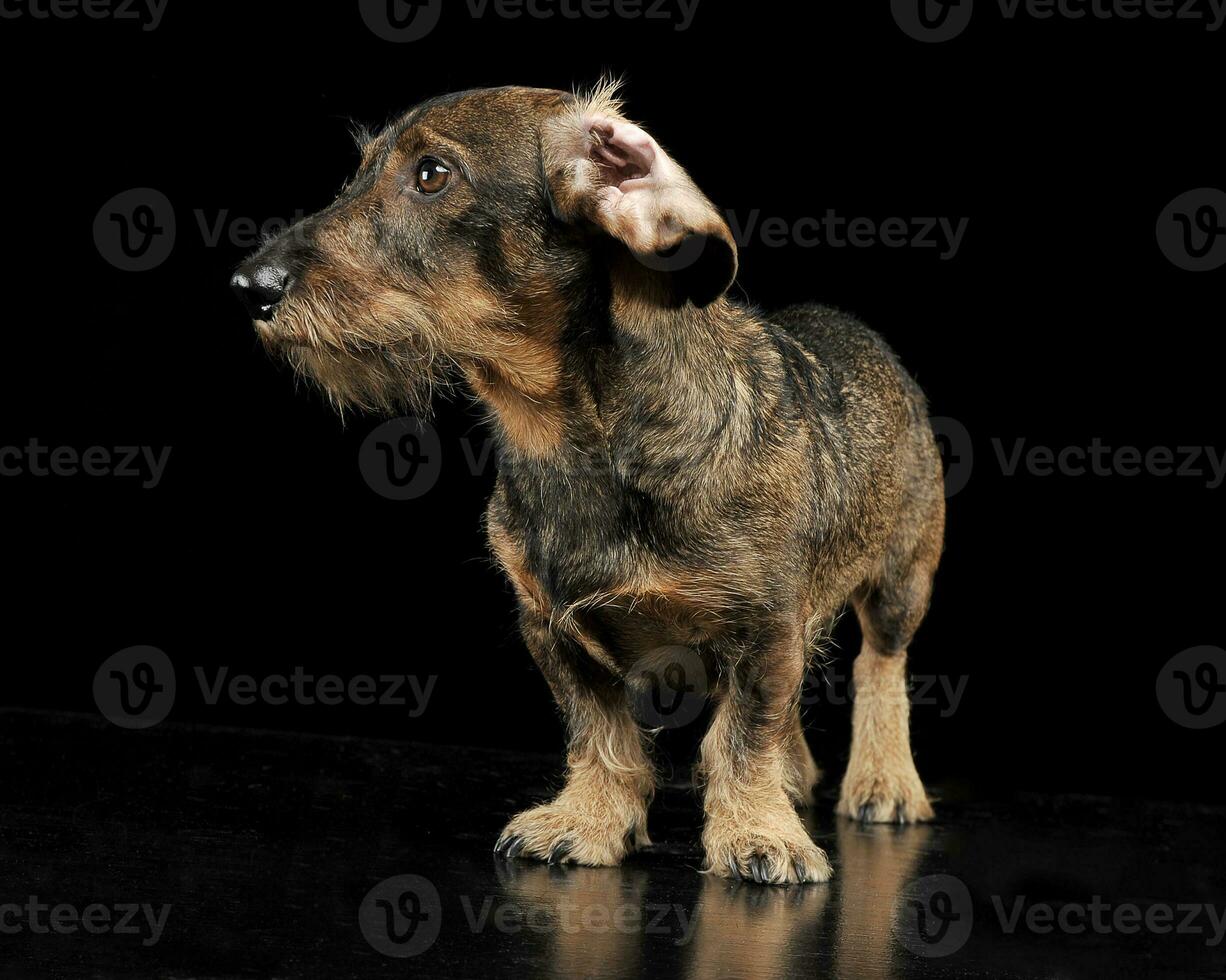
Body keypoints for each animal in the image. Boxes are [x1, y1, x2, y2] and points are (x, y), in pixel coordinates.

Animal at [230, 80, 941, 883]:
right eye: (358, 172)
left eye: (432, 175)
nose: (249, 288)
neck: (572, 439)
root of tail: (856, 329)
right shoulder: (553, 627)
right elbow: (599, 732)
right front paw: (591, 819)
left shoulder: (764, 628)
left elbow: (743, 735)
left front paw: (759, 831)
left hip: (900, 581)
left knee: (881, 668)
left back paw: (883, 779)